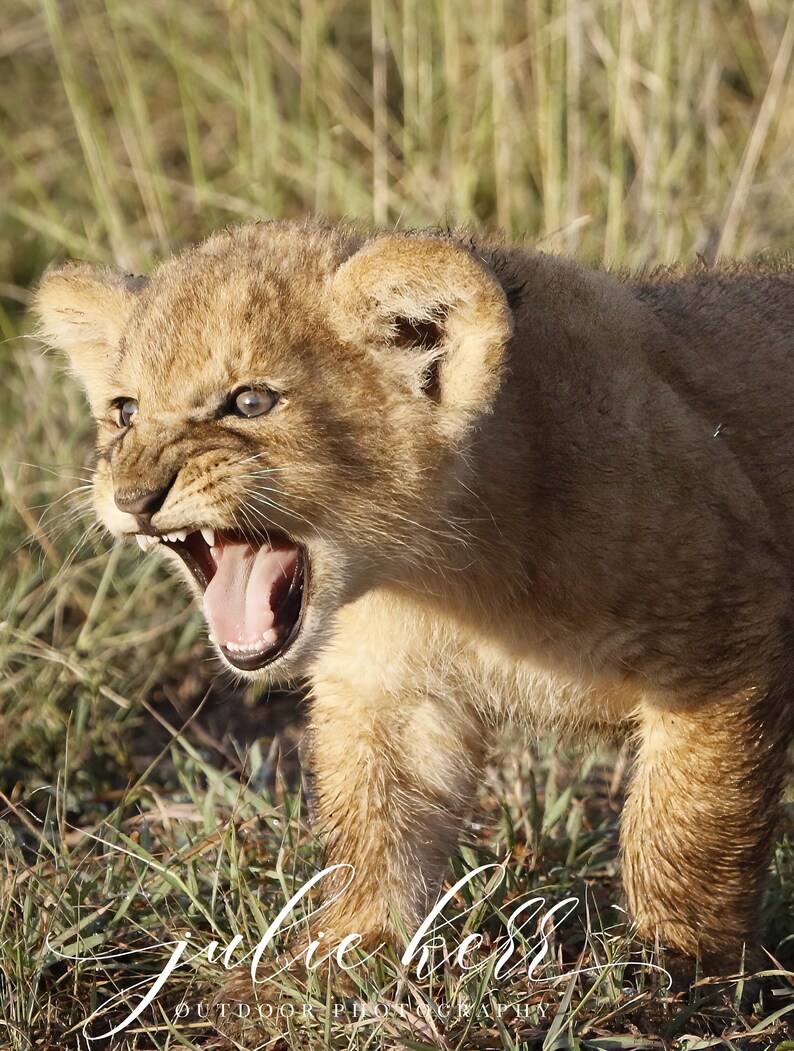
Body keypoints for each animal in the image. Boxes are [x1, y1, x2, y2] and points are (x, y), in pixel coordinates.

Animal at [33, 220, 794, 983]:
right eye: (125, 411)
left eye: (250, 402)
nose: (133, 497)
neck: (444, 571)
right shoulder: (388, 687)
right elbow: (379, 825)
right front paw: (344, 954)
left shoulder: (726, 628)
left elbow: (687, 817)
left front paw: (676, 960)